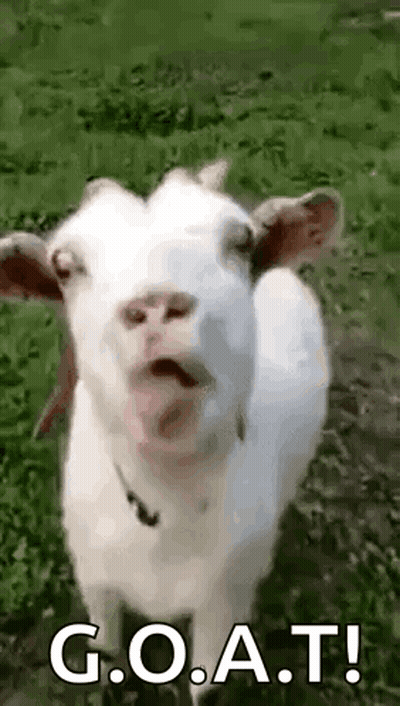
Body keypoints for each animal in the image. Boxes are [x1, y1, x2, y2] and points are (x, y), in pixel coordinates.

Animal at [0, 160, 343, 704]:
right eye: (65, 265)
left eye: (241, 241)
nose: (156, 307)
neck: (167, 499)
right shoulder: (94, 578)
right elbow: (105, 655)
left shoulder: (221, 605)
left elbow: (206, 686)